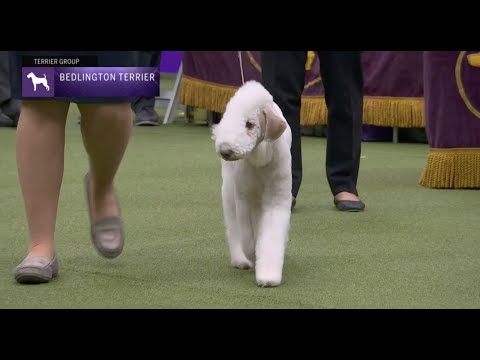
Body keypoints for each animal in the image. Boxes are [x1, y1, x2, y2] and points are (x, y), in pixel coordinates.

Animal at [211, 80, 292, 288]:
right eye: (229, 118)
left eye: (250, 124)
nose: (225, 151)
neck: (259, 160)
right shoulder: (243, 197)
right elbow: (246, 235)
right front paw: (251, 252)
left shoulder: (276, 200)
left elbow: (270, 235)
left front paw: (268, 276)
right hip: (229, 191)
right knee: (234, 227)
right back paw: (241, 260)